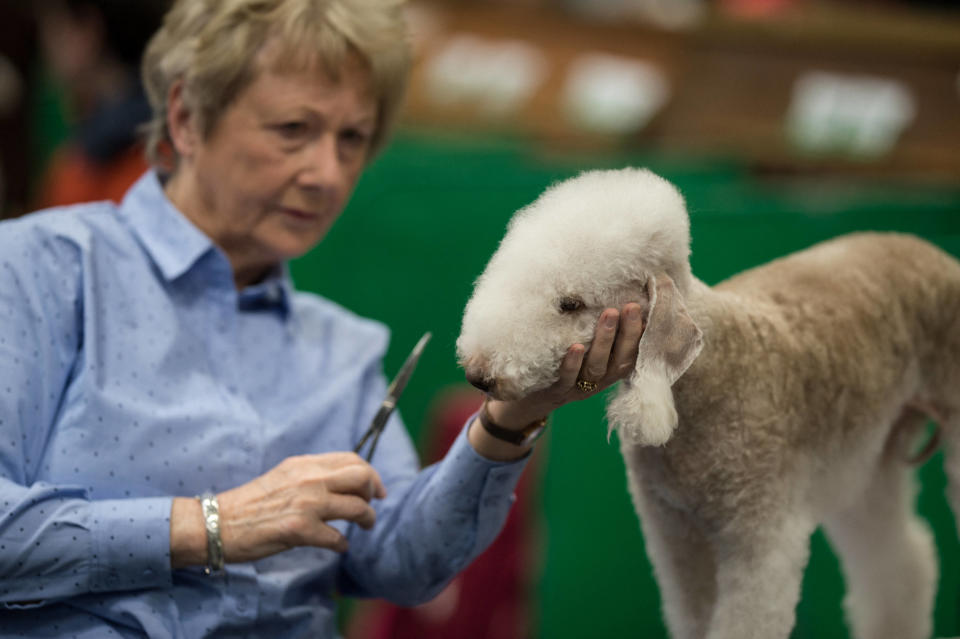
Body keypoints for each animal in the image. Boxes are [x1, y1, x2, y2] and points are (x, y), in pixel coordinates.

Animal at [458, 169, 960, 639]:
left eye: (570, 304)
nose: (478, 374)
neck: (707, 384)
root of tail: (931, 252)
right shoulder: (675, 534)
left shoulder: (760, 541)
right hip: (867, 460)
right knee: (901, 561)